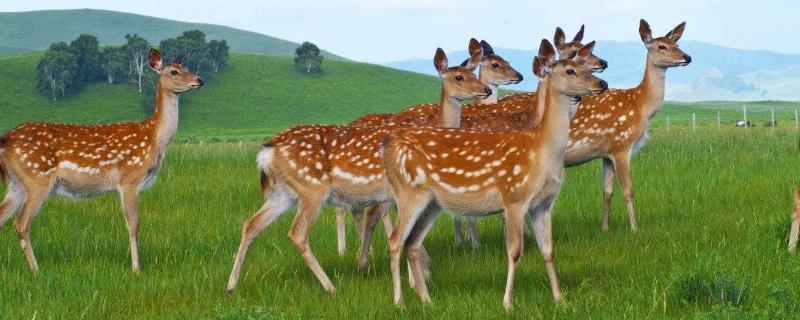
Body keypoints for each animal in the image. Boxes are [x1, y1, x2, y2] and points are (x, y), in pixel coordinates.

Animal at [0, 48, 203, 272]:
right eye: (174, 71)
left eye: (187, 67)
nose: (199, 80)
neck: (154, 140)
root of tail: (5, 140)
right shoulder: (130, 178)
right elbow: (133, 224)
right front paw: (136, 268)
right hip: (36, 177)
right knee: (21, 223)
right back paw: (36, 270)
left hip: (16, 183)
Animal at [222, 47, 490, 292]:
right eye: (459, 77)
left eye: (473, 72)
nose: (485, 90)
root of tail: (267, 150)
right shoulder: (398, 193)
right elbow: (401, 234)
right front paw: (417, 280)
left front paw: (422, 274)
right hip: (311, 188)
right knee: (297, 233)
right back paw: (330, 286)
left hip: (283, 194)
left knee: (251, 225)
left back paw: (231, 286)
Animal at [382, 39, 608, 310]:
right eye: (570, 70)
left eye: (584, 66)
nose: (602, 83)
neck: (544, 153)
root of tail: (388, 148)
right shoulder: (514, 198)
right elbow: (514, 251)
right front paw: (508, 303)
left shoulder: (543, 204)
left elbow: (548, 250)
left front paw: (560, 299)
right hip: (409, 192)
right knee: (395, 240)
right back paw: (399, 302)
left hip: (432, 202)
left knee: (412, 243)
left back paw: (428, 301)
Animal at [564, 18, 692, 231]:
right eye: (662, 46)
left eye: (677, 44)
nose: (687, 57)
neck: (640, 105)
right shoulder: (621, 146)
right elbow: (628, 191)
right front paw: (635, 229)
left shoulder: (606, 153)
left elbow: (607, 192)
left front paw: (605, 228)